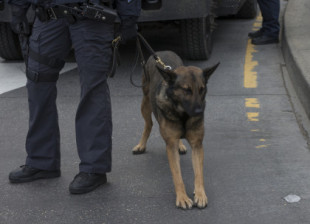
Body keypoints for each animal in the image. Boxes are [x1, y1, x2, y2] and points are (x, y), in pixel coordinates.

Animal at [132, 51, 219, 210]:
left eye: (202, 89)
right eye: (186, 90)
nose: (199, 112)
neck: (182, 114)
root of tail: (161, 52)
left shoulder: (197, 145)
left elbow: (199, 173)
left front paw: (200, 194)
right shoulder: (170, 146)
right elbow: (177, 175)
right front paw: (182, 197)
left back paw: (181, 145)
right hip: (145, 104)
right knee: (148, 124)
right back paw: (141, 145)